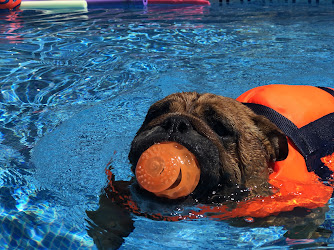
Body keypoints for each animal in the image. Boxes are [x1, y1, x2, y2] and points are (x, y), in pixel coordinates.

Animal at [87, 85, 334, 248]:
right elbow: (109, 210)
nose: (175, 121)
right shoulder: (122, 190)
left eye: (220, 128)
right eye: (155, 113)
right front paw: (105, 235)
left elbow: (304, 229)